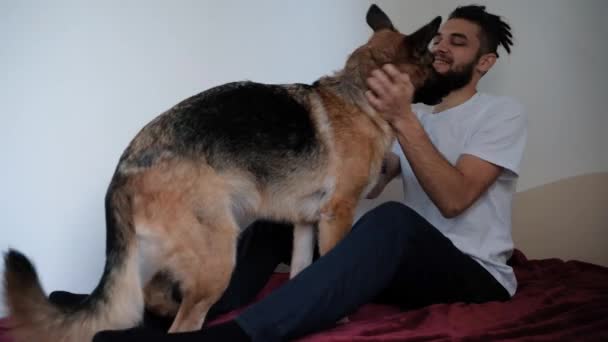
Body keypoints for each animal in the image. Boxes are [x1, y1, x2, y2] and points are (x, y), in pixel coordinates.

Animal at [1, 3, 446, 342]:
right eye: (432, 61)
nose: (450, 85)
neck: (359, 95)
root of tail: (124, 168)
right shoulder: (337, 215)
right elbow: (331, 265)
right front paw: (339, 318)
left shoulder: (305, 223)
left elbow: (303, 273)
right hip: (218, 258)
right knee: (180, 322)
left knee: (148, 299)